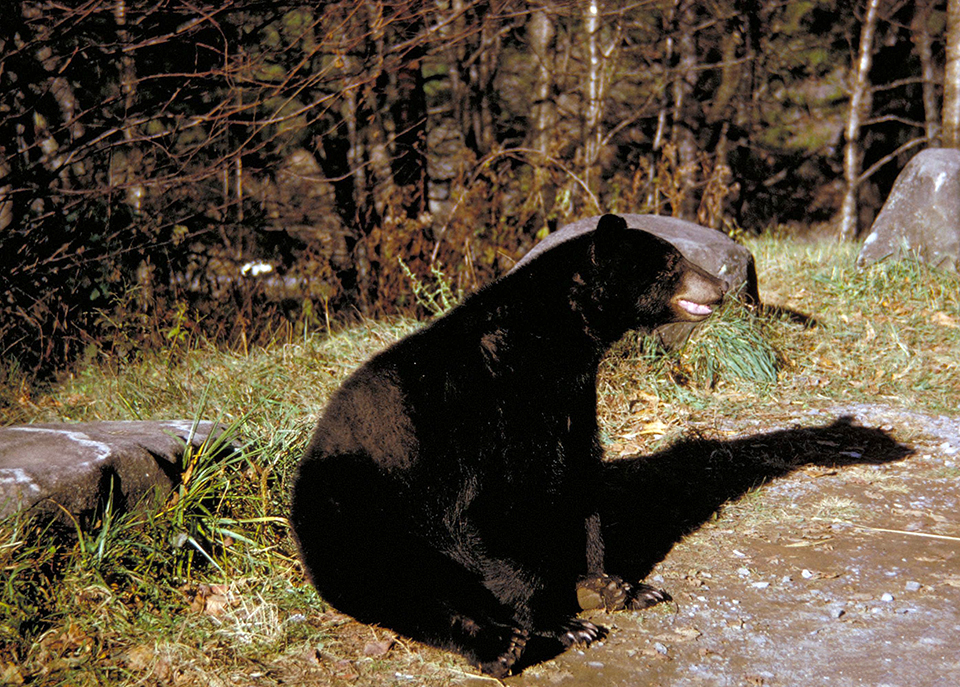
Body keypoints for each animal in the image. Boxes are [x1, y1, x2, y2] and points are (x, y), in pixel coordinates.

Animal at [290, 214, 724, 677]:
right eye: (671, 262)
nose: (719, 285)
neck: (550, 342)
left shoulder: (571, 400)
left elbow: (577, 482)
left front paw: (614, 583)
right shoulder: (487, 409)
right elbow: (496, 506)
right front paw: (561, 621)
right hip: (362, 515)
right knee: (403, 586)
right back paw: (499, 644)